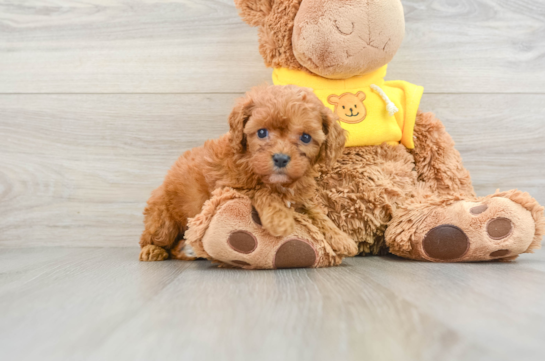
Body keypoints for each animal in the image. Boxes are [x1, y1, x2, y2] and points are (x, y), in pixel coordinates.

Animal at [139, 84, 356, 258]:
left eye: (305, 137)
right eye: (261, 132)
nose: (281, 158)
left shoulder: (300, 195)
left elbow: (317, 212)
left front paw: (342, 238)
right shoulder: (229, 186)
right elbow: (262, 191)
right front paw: (280, 219)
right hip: (163, 221)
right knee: (152, 239)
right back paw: (152, 251)